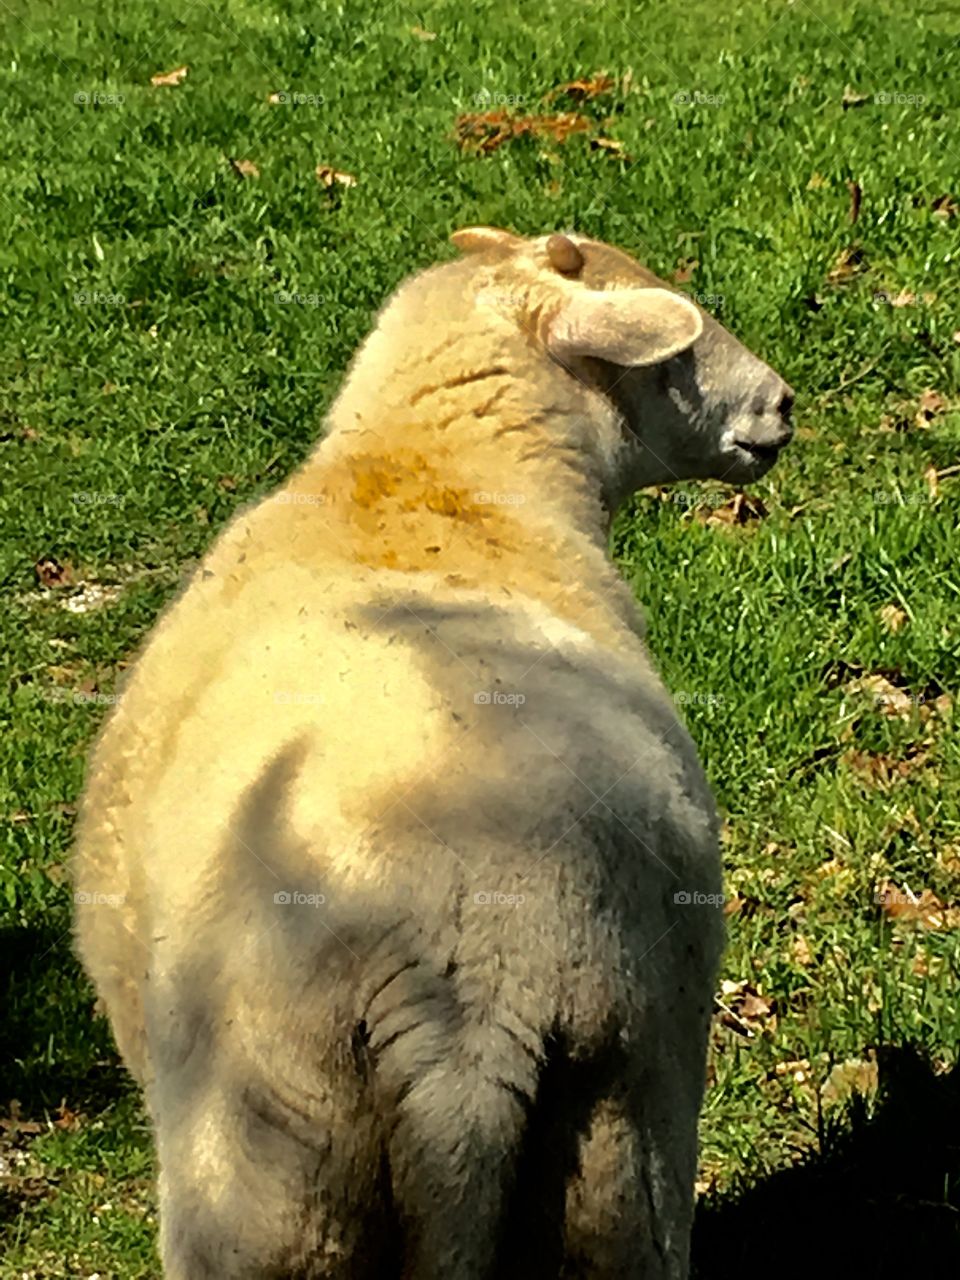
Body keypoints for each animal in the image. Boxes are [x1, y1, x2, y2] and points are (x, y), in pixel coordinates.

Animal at [72, 227, 793, 1279]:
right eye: (675, 351)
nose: (782, 404)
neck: (430, 480)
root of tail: (480, 1001)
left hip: (266, 1181)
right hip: (626, 1145)